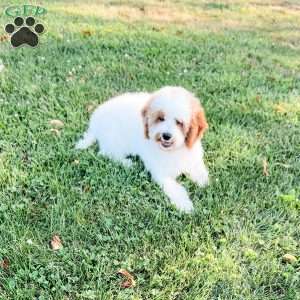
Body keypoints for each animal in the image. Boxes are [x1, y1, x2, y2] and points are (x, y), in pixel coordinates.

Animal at [76, 86, 209, 212]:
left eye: (179, 122)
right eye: (161, 118)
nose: (166, 136)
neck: (173, 150)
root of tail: (94, 122)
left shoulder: (193, 157)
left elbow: (199, 170)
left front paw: (203, 181)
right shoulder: (161, 174)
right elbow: (176, 188)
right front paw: (185, 205)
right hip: (116, 141)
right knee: (107, 153)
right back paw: (127, 163)